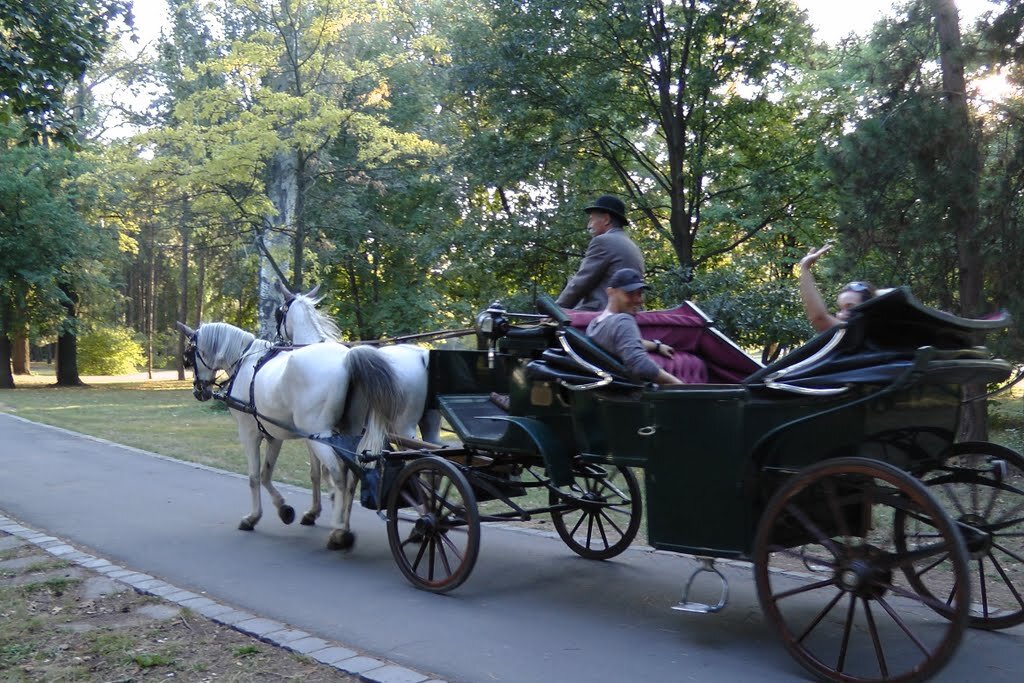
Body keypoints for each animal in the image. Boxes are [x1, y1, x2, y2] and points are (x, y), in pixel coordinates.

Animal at [176, 321, 399, 548]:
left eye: (189, 354)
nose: (198, 391)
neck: (245, 360)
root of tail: (347, 358)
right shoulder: (274, 436)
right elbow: (267, 474)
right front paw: (284, 510)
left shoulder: (249, 434)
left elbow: (254, 476)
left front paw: (253, 518)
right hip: (348, 432)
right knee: (352, 475)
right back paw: (344, 525)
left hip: (319, 435)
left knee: (338, 474)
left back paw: (338, 531)